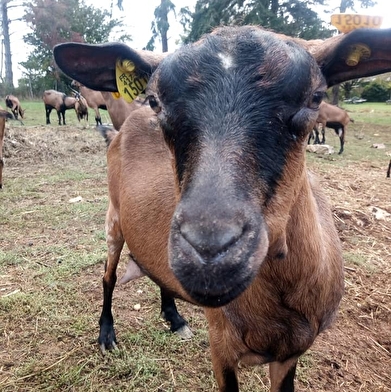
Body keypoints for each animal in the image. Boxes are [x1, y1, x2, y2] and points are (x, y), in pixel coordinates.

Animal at [55, 25, 391, 392]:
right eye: (156, 100)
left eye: (316, 97)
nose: (208, 254)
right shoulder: (221, 345)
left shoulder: (290, 355)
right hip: (114, 219)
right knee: (108, 276)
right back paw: (107, 335)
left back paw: (174, 318)